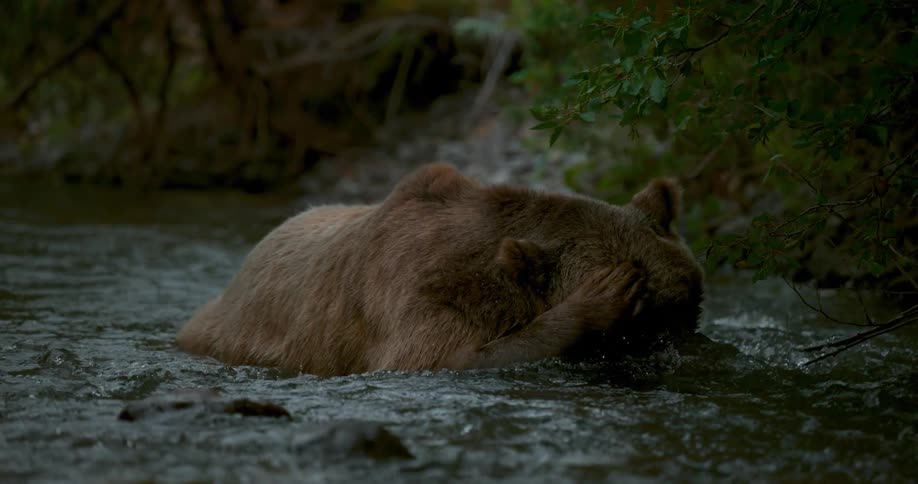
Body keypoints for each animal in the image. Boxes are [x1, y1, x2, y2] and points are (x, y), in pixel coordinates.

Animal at [176, 163, 704, 377]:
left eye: (683, 304)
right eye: (639, 319)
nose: (671, 351)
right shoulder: (422, 294)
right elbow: (445, 358)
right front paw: (601, 297)